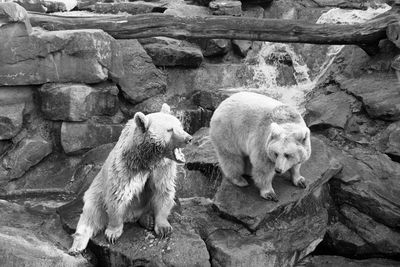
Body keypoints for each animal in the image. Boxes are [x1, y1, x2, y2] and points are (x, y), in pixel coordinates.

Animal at [68, 103, 192, 255]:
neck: (147, 159)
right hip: (95, 194)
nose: (189, 138)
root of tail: (130, 216)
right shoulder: (126, 166)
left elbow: (163, 190)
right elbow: (118, 194)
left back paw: (147, 219)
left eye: (180, 125)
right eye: (170, 130)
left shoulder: (162, 168)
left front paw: (164, 228)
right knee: (90, 215)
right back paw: (77, 246)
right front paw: (112, 233)